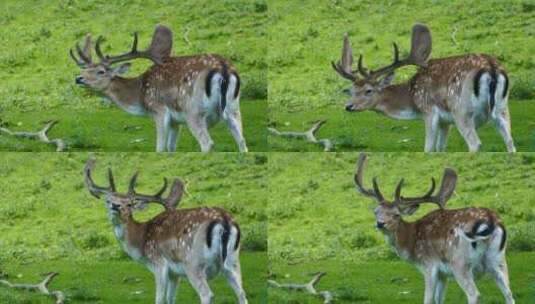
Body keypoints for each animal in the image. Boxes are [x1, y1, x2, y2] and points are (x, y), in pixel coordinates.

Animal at [70, 25, 248, 153]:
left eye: (101, 71)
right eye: (85, 69)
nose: (78, 78)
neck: (140, 96)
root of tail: (224, 69)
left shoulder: (159, 110)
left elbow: (160, 148)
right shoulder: (176, 121)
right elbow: (171, 148)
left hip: (193, 110)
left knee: (207, 143)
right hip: (233, 106)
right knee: (242, 141)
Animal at [84, 159, 249, 304]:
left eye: (130, 204)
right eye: (108, 200)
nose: (115, 206)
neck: (141, 243)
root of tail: (224, 221)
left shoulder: (159, 264)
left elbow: (160, 299)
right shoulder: (174, 273)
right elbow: (171, 299)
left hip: (193, 263)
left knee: (207, 294)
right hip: (233, 261)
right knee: (242, 293)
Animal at [332, 23, 516, 152]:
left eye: (368, 90)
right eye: (351, 90)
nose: (349, 106)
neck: (412, 100)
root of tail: (491, 69)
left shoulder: (429, 111)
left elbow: (428, 148)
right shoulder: (445, 121)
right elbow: (440, 148)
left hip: (461, 109)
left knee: (475, 144)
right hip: (502, 107)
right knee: (510, 141)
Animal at [356, 154, 516, 304]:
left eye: (396, 214)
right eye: (376, 211)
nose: (380, 223)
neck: (411, 245)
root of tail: (491, 220)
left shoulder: (429, 265)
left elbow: (428, 299)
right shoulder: (443, 274)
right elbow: (439, 299)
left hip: (460, 262)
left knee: (474, 294)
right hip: (498, 259)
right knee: (509, 294)